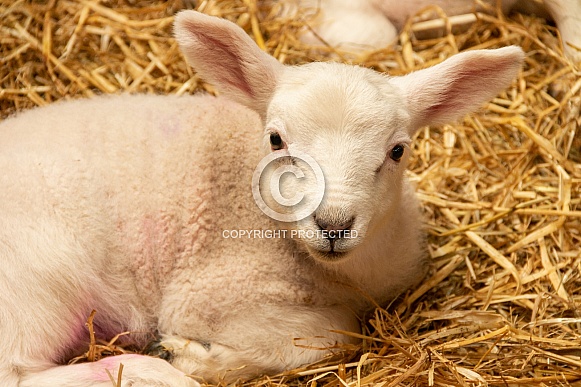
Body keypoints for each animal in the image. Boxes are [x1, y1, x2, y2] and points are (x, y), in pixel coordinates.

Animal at [0, 9, 524, 387]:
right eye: (275, 140)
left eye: (397, 150)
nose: (333, 224)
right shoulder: (206, 293)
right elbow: (334, 335)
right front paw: (194, 357)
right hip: (39, 284)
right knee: (18, 373)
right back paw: (151, 373)